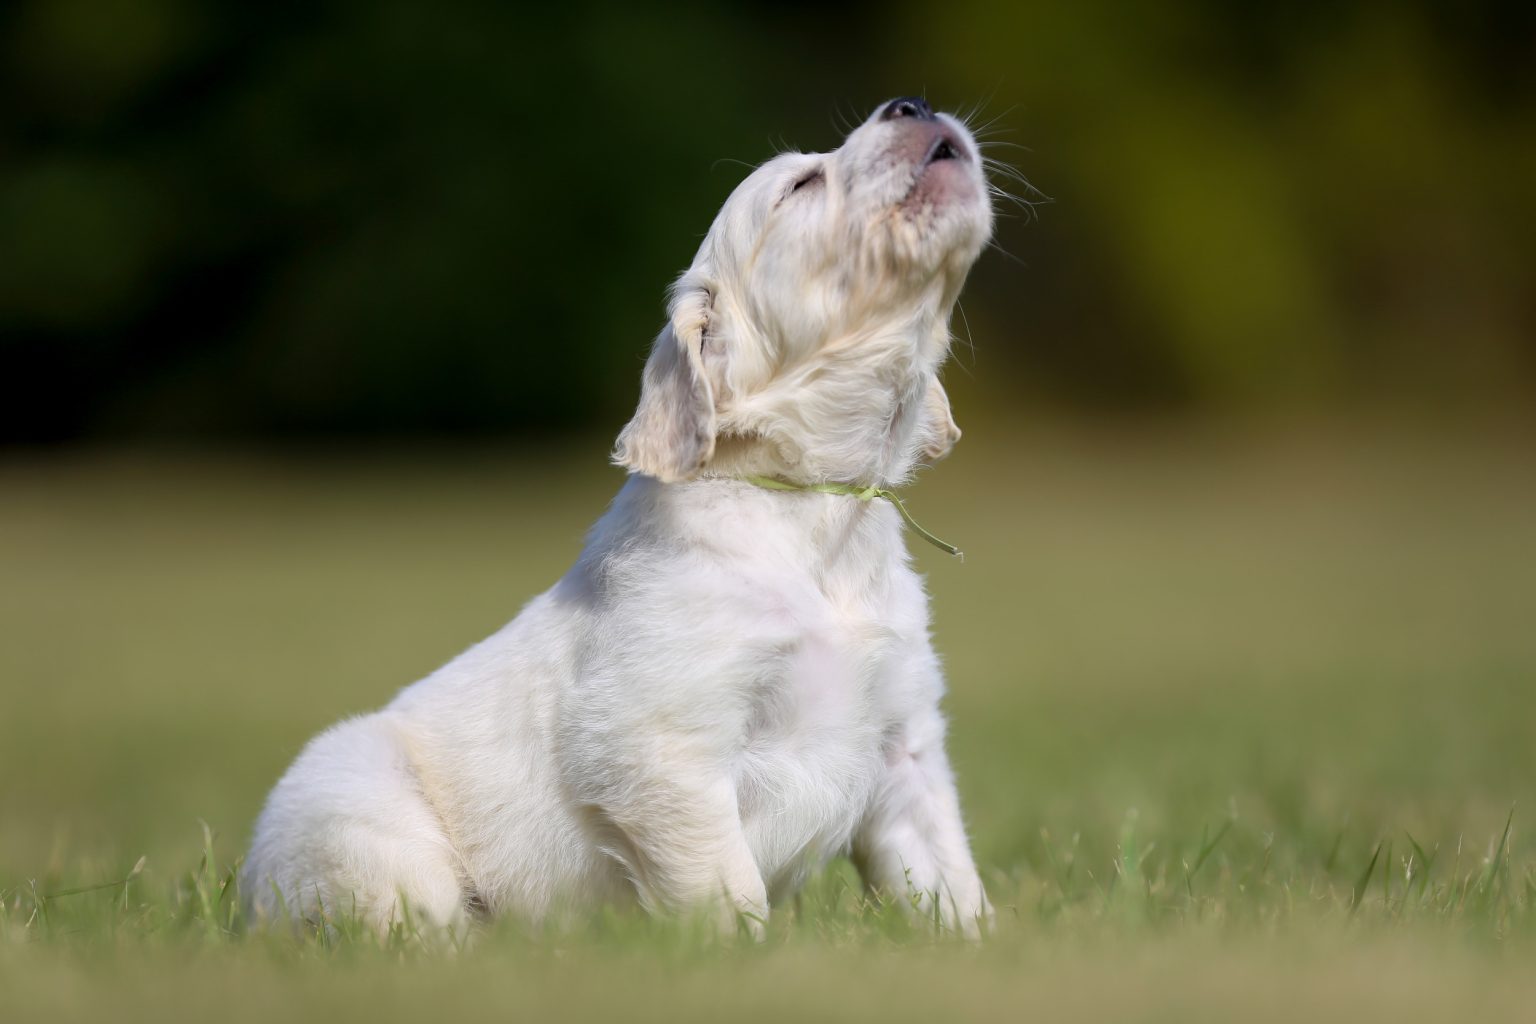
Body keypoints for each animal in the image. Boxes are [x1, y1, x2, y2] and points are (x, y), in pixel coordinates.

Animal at [245, 95, 995, 939]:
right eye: (799, 186)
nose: (912, 105)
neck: (808, 506)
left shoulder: (905, 745)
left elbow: (947, 877)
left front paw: (975, 943)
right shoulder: (665, 750)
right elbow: (727, 892)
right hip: (360, 823)